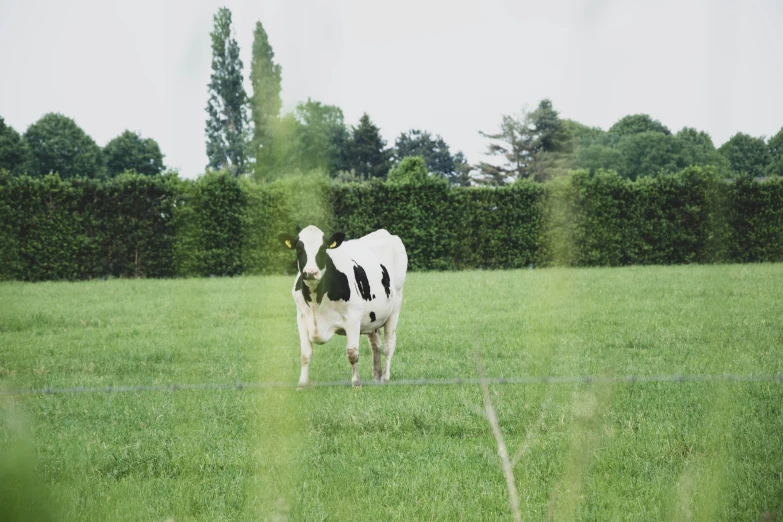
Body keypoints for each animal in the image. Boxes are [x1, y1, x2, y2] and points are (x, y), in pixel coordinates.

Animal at [278, 226, 410, 386]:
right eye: (298, 248)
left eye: (323, 248)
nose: (310, 272)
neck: (317, 301)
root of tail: (384, 232)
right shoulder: (302, 318)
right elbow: (305, 354)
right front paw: (302, 384)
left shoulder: (353, 317)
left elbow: (352, 353)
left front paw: (356, 383)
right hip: (372, 317)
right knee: (375, 346)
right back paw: (375, 377)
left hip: (395, 306)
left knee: (388, 345)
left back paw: (385, 377)